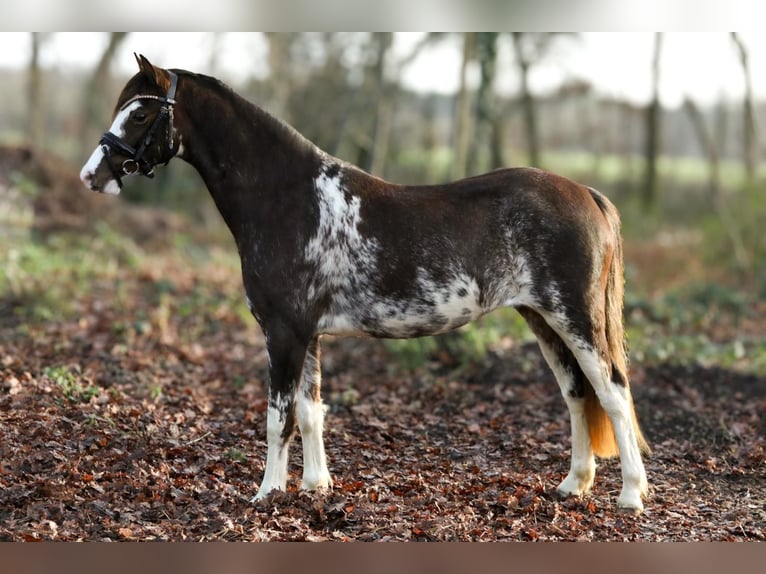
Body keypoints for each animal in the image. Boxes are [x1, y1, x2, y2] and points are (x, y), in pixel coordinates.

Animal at [81, 53, 652, 512]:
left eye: (140, 113)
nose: (91, 175)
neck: (286, 197)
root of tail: (586, 193)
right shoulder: (306, 333)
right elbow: (311, 410)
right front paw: (314, 486)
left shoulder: (283, 333)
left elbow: (278, 418)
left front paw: (267, 493)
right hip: (542, 318)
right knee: (578, 394)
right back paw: (573, 485)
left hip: (576, 318)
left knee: (613, 393)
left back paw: (630, 496)